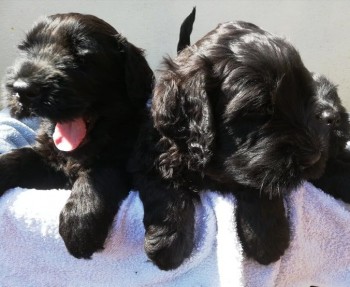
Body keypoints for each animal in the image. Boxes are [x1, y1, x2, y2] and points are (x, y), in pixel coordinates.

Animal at [0, 12, 153, 260]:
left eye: (81, 54)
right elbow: (21, 157)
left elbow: (99, 173)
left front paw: (80, 222)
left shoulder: (123, 158)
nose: (22, 89)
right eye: (27, 49)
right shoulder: (48, 159)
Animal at [131, 21, 350, 272]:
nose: (313, 157)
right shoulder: (151, 153)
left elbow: (260, 182)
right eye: (259, 110)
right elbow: (164, 190)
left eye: (303, 99)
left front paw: (267, 239)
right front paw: (167, 243)